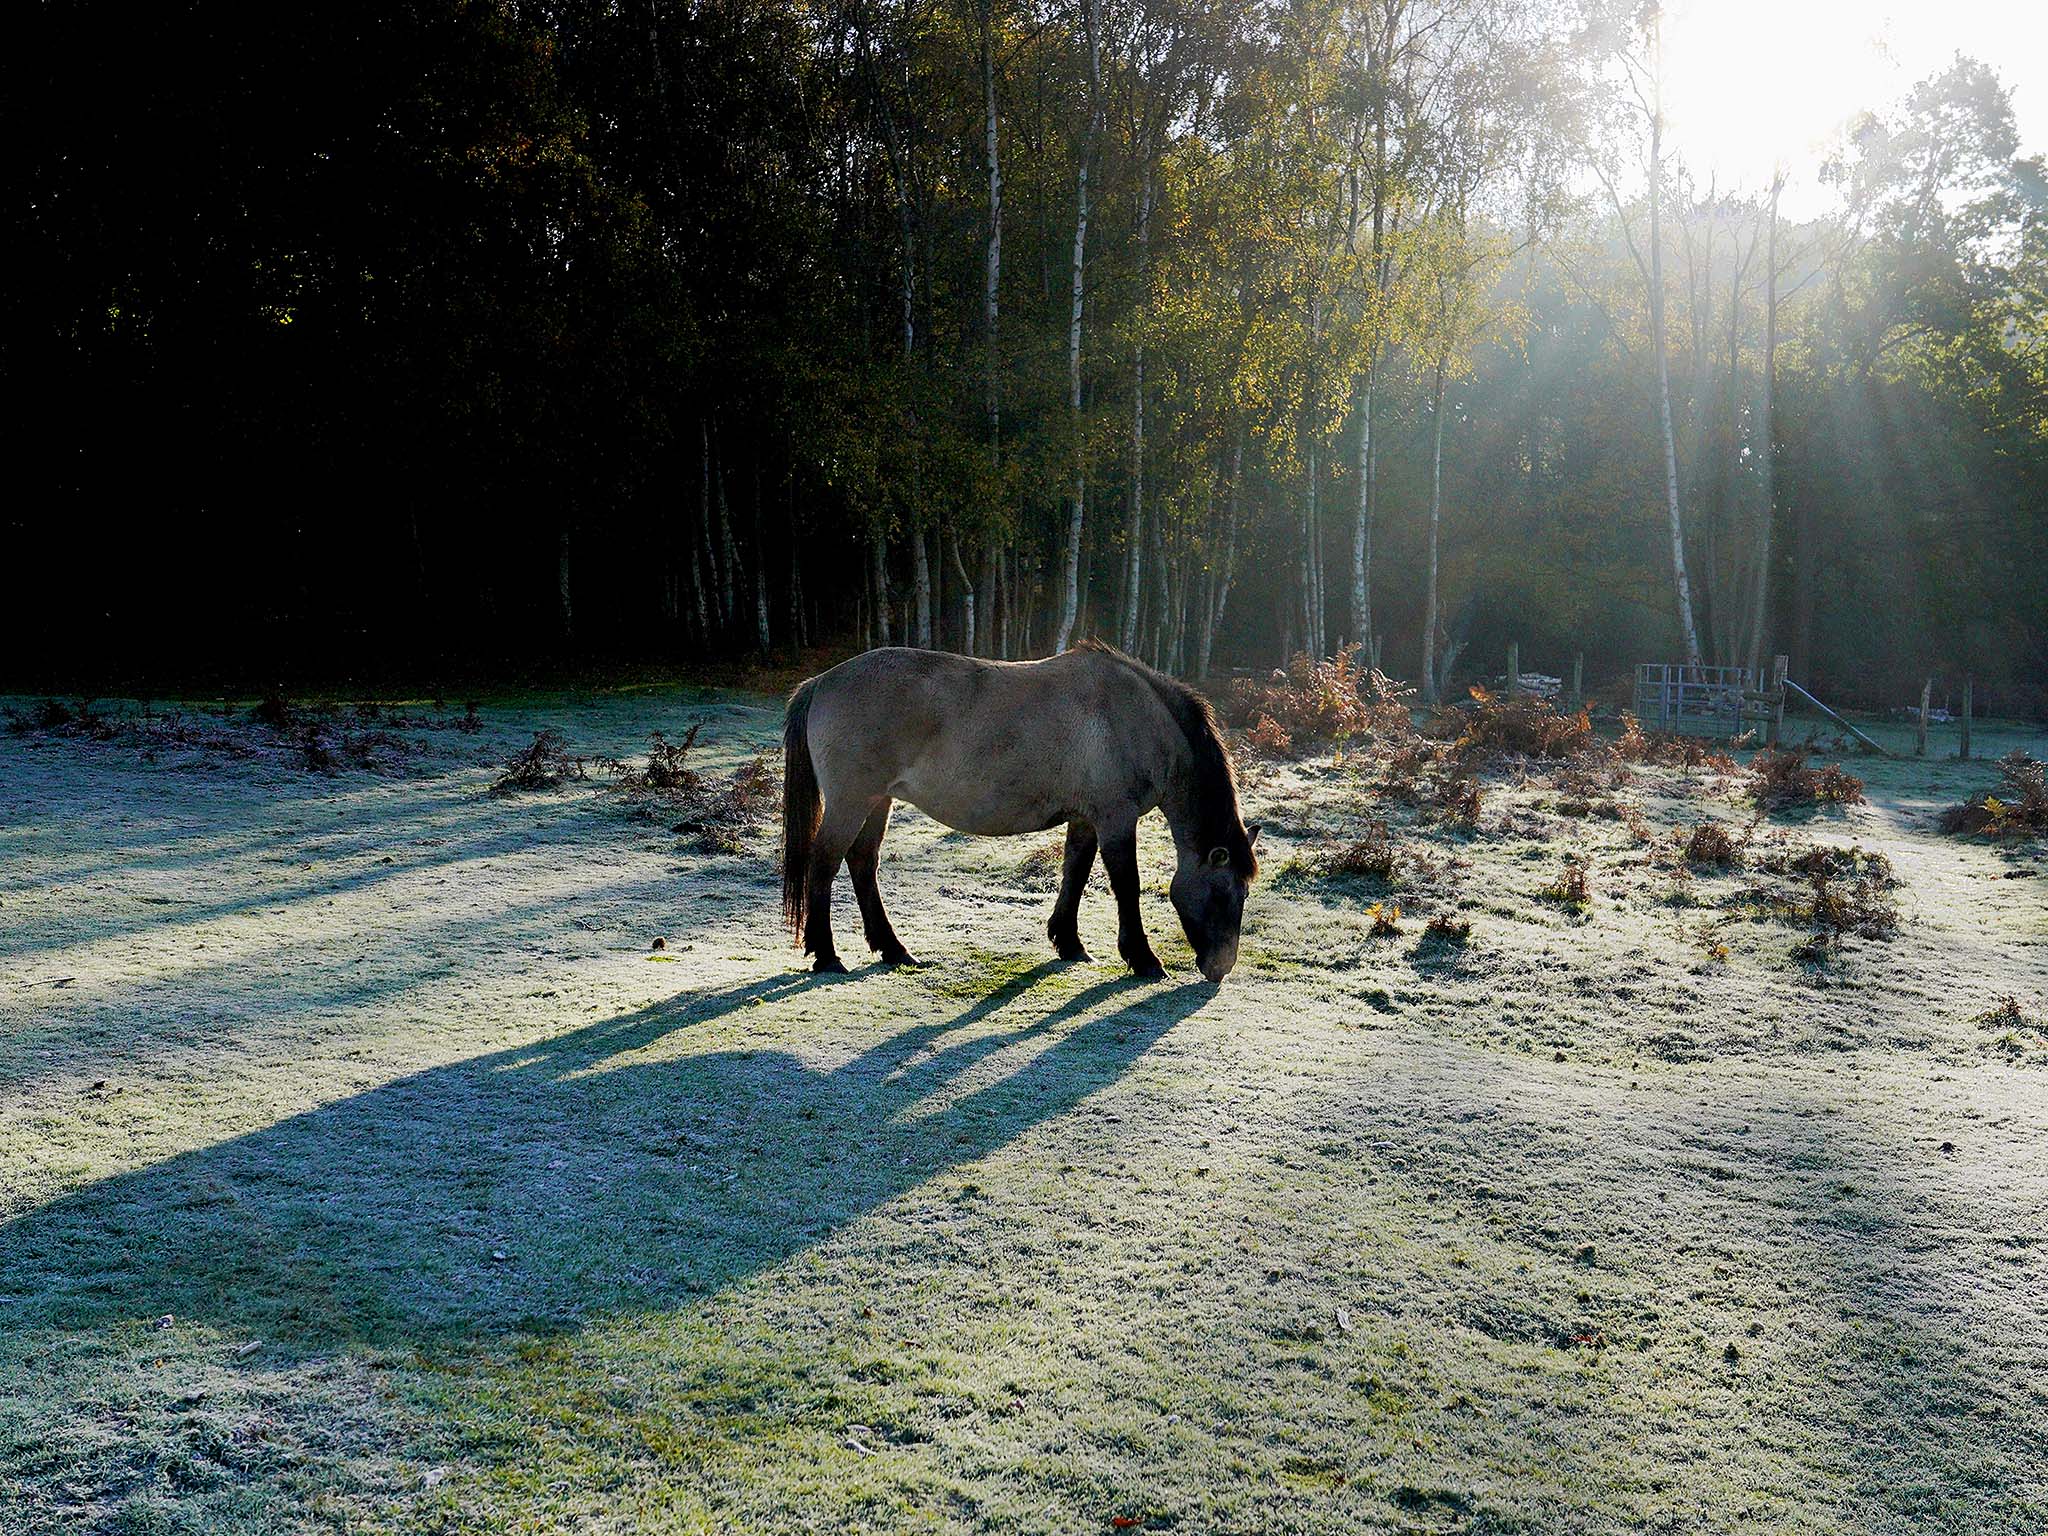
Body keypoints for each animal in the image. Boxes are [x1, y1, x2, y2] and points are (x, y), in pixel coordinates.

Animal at [780, 640, 1261, 982]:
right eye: (1224, 893)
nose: (1220, 969)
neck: (1132, 717)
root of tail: (821, 681)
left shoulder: (1085, 819)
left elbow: (1075, 873)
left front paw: (1069, 943)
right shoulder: (1115, 820)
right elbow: (1127, 885)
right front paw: (1142, 959)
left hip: (878, 801)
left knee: (863, 863)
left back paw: (894, 950)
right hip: (851, 801)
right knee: (824, 864)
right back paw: (826, 955)